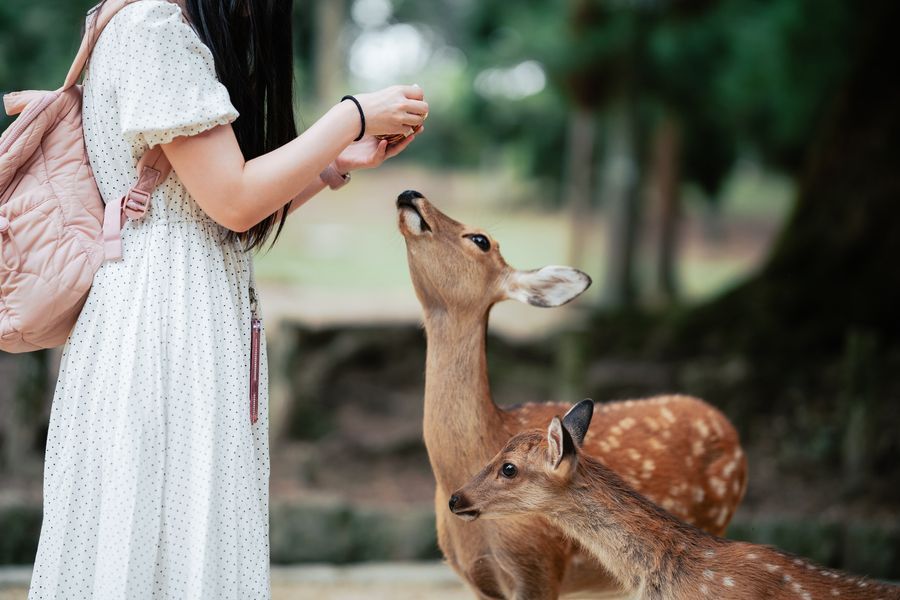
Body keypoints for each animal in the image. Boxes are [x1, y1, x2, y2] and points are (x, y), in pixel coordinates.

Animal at [398, 190, 748, 596]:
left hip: (713, 521)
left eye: (480, 239)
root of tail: (728, 428)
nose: (411, 195)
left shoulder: (539, 565)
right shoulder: (476, 579)